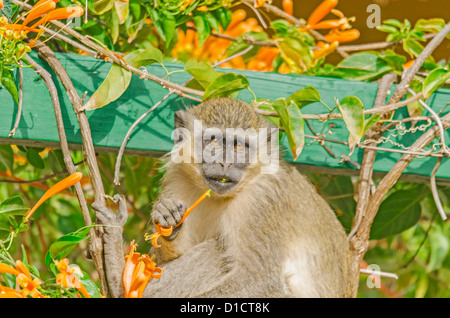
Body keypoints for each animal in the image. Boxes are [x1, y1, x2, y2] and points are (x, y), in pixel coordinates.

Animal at [95, 97, 356, 298]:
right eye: (213, 141)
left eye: (239, 147)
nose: (225, 162)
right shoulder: (178, 180)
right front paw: (167, 216)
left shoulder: (261, 200)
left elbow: (259, 279)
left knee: (218, 250)